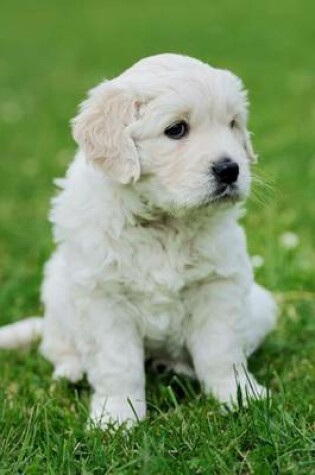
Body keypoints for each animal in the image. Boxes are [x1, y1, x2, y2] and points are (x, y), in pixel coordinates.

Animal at [0, 54, 276, 430]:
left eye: (233, 124)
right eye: (176, 129)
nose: (230, 169)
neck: (164, 221)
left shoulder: (217, 284)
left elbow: (221, 351)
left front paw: (239, 396)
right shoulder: (104, 297)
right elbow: (118, 365)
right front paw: (115, 418)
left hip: (262, 306)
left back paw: (173, 366)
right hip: (57, 291)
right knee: (57, 345)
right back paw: (72, 370)